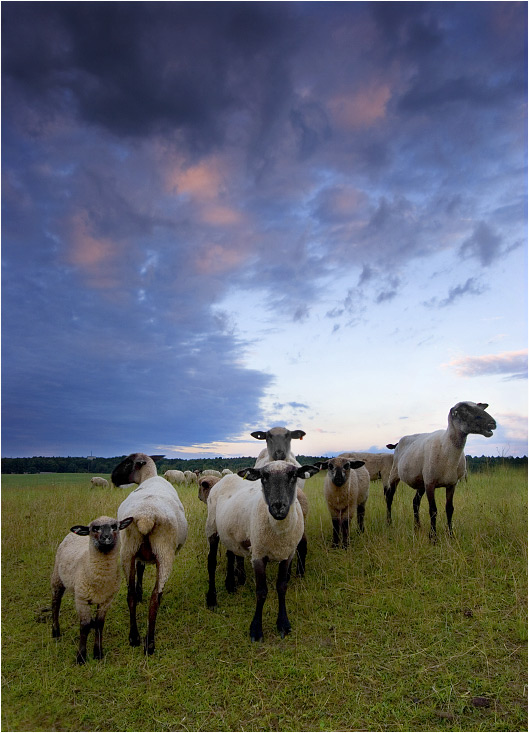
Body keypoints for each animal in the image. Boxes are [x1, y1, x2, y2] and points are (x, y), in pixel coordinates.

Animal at [110, 454, 189, 656]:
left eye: (127, 462)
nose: (113, 478)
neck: (149, 477)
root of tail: (146, 516)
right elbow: (142, 569)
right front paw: (140, 592)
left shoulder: (137, 554)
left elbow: (140, 569)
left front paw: (139, 592)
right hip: (162, 553)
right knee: (155, 598)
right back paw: (148, 642)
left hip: (129, 550)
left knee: (135, 596)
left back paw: (136, 638)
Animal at [203, 464, 318, 640]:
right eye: (263, 477)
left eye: (293, 475)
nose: (278, 507)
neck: (278, 530)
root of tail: (228, 476)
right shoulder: (258, 554)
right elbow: (261, 591)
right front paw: (256, 630)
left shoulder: (288, 554)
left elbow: (282, 587)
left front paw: (283, 624)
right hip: (212, 526)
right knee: (211, 562)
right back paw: (212, 600)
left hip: (230, 533)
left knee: (230, 555)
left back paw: (230, 585)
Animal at [384, 400, 496, 536]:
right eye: (464, 411)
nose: (492, 423)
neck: (447, 447)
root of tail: (398, 443)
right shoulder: (430, 483)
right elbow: (433, 510)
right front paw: (433, 537)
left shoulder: (452, 484)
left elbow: (449, 509)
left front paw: (451, 535)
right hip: (395, 474)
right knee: (389, 497)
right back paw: (389, 523)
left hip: (421, 482)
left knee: (415, 502)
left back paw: (417, 526)